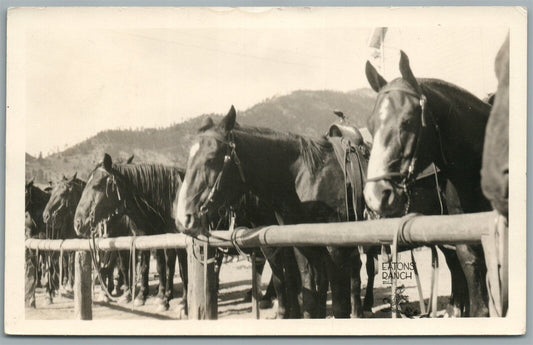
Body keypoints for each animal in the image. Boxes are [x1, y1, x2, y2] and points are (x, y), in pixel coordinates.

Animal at [72, 155, 188, 312]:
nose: (77, 223)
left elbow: (182, 270)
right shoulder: (145, 237)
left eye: (97, 185)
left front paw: (183, 303)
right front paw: (141, 296)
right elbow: (143, 266)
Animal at [175, 105, 366, 318]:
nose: (183, 219)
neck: (306, 176)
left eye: (210, 159)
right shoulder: (299, 244)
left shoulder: (334, 247)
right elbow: (301, 287)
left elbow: (337, 302)